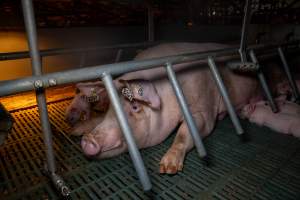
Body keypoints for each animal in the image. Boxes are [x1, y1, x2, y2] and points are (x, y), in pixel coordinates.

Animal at [65, 43, 262, 174]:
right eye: (110, 107)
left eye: (135, 106)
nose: (88, 140)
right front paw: (75, 131)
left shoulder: (204, 110)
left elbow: (185, 132)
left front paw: (167, 168)